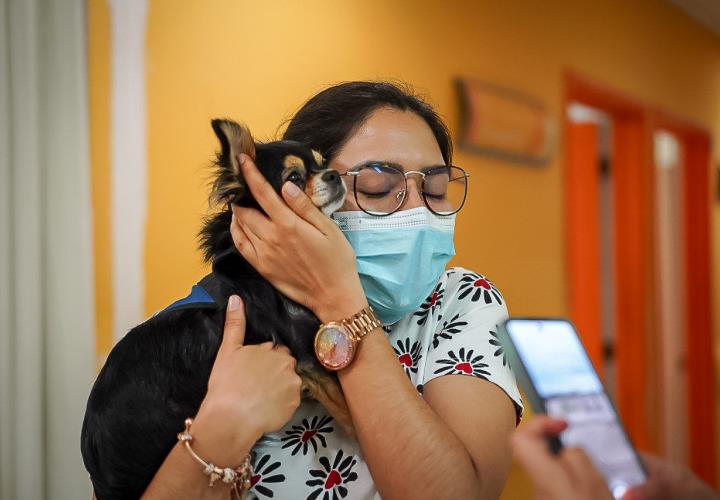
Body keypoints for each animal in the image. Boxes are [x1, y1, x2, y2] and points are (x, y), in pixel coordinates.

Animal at [82, 119, 352, 498]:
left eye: (322, 162)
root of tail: (99, 473)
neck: (262, 272)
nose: (335, 174)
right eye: (295, 179)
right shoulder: (308, 358)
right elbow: (348, 412)